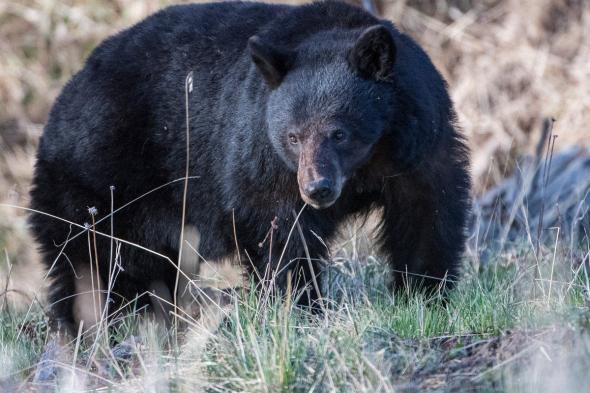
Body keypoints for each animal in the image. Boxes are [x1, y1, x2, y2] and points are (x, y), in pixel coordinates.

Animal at [30, 0, 472, 332]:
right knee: (93, 261)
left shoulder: (419, 143)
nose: (318, 189)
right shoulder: (263, 158)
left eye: (339, 133)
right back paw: (93, 326)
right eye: (293, 136)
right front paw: (298, 306)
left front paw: (425, 294)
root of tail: (62, 100)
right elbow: (282, 235)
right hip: (101, 183)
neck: (368, 163)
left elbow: (426, 213)